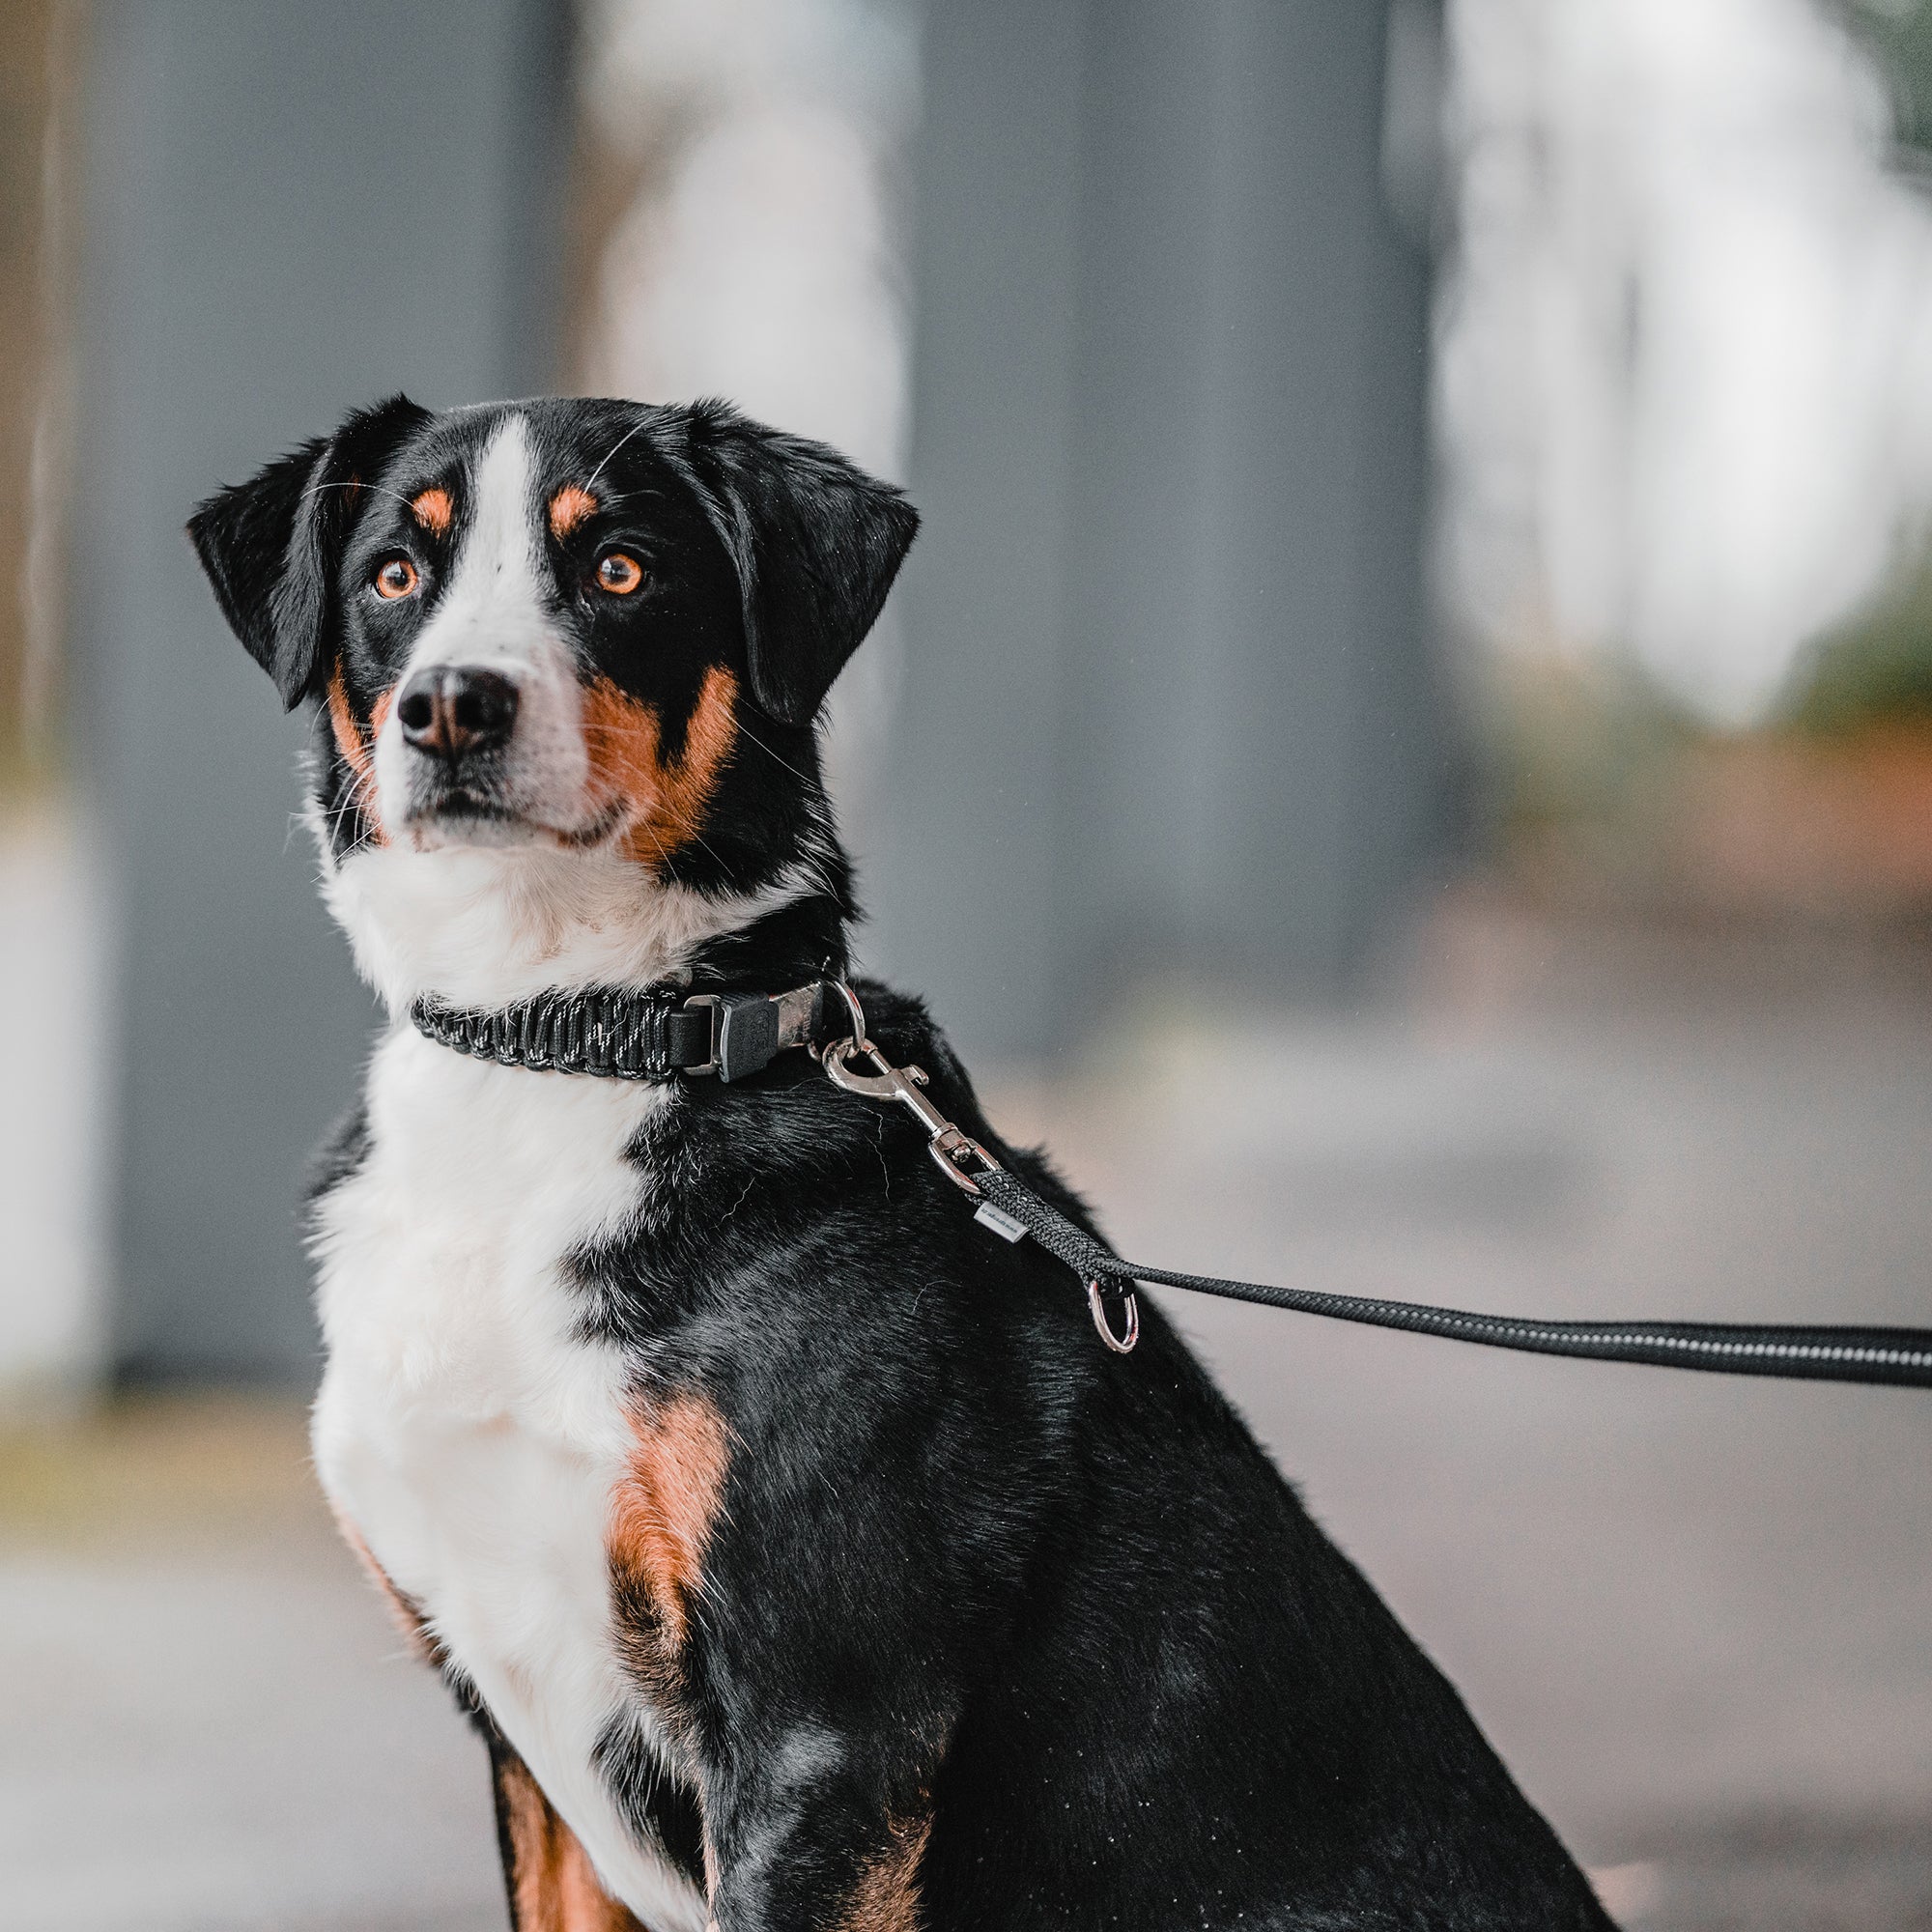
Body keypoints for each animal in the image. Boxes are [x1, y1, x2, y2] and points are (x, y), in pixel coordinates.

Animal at [192, 392, 1615, 1932]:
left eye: (622, 568)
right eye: (395, 573)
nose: (452, 704)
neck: (577, 1046)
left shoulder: (822, 1728)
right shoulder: (525, 1745)